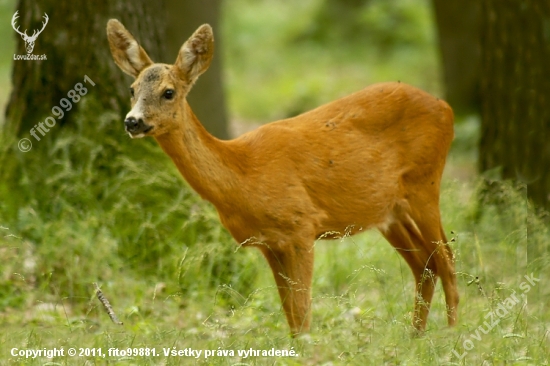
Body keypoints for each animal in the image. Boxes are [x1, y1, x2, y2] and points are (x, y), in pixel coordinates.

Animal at [105, 19, 460, 334]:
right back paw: (416, 335)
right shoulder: (268, 242)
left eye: (168, 92)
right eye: (133, 89)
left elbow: (302, 314)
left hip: (425, 183)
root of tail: (446, 108)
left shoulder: (301, 226)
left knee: (447, 259)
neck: (242, 176)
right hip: (389, 210)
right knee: (426, 264)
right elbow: (290, 315)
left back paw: (451, 334)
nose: (132, 121)